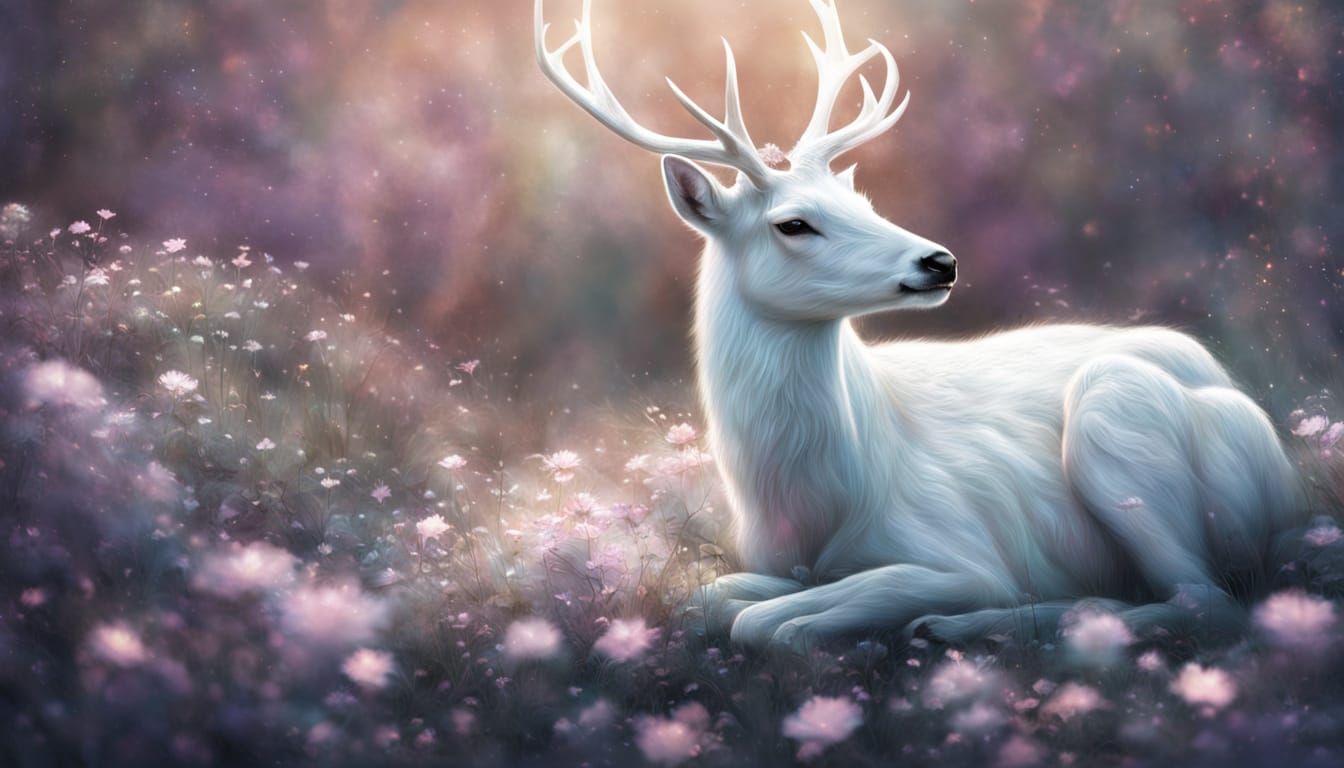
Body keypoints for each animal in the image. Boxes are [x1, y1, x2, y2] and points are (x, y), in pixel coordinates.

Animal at [535, 0, 1305, 653]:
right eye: (793, 223)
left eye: (865, 200)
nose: (940, 261)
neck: (826, 494)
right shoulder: (772, 559)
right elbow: (711, 596)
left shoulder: (962, 550)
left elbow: (770, 623)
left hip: (1119, 416)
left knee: (1207, 601)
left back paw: (978, 625)